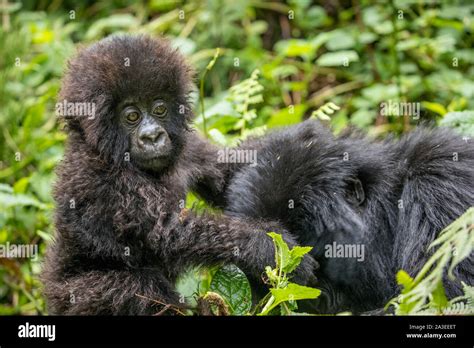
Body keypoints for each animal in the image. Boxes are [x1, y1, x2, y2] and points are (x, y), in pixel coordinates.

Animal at [40, 36, 316, 316]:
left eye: (159, 108)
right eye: (132, 116)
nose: (152, 136)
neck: (99, 148)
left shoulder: (188, 148)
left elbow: (228, 178)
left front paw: (297, 152)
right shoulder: (98, 176)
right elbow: (168, 232)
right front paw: (264, 245)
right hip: (67, 299)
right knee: (131, 288)